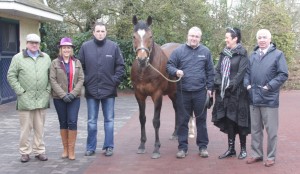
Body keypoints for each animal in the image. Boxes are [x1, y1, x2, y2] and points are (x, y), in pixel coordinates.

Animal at [132, 15, 180, 158]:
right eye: (134, 36)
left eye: (151, 36)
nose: (142, 59)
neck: (146, 70)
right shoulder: (139, 95)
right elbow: (142, 119)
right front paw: (142, 145)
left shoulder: (157, 95)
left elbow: (156, 121)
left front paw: (156, 148)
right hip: (172, 93)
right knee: (177, 109)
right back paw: (175, 133)